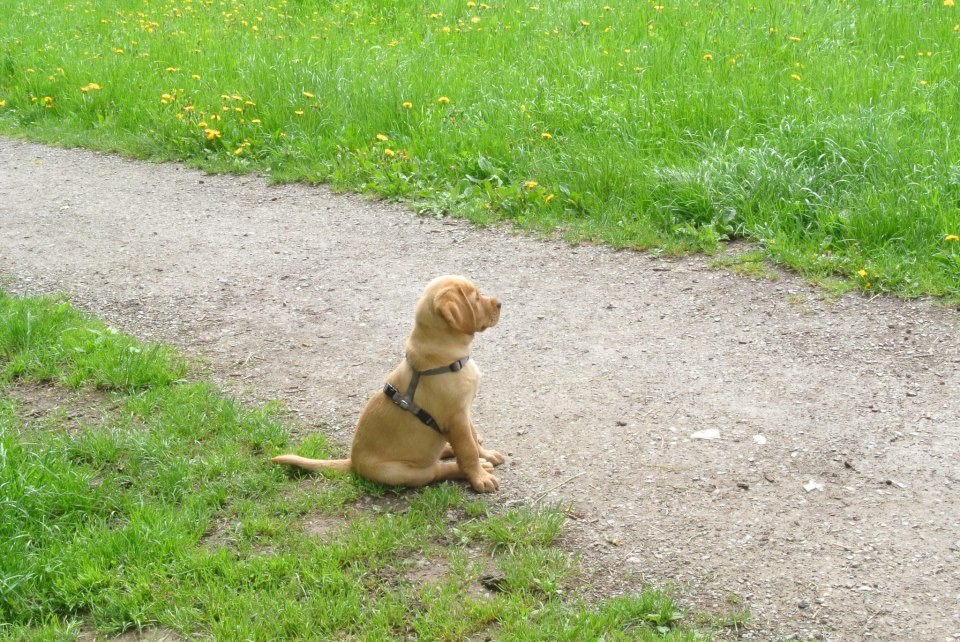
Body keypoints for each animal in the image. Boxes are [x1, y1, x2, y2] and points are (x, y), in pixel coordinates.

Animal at [272, 274, 502, 490]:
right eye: (476, 297)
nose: (500, 303)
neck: (443, 358)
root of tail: (353, 462)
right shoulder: (456, 418)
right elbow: (468, 451)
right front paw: (480, 477)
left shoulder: (464, 412)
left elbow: (472, 438)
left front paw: (486, 454)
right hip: (404, 472)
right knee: (435, 470)